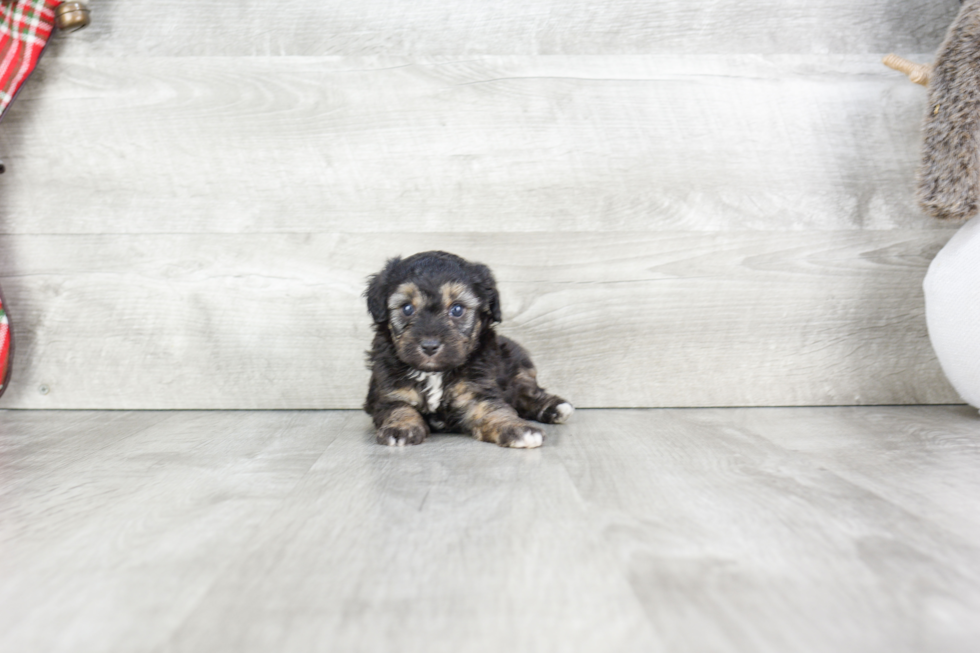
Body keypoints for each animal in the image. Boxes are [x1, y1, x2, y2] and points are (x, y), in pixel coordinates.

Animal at [364, 251, 572, 448]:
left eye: (457, 309)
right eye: (407, 308)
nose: (430, 346)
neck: (435, 373)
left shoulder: (477, 391)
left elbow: (493, 410)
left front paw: (517, 428)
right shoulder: (389, 393)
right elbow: (399, 408)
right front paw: (400, 427)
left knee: (525, 393)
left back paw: (555, 408)